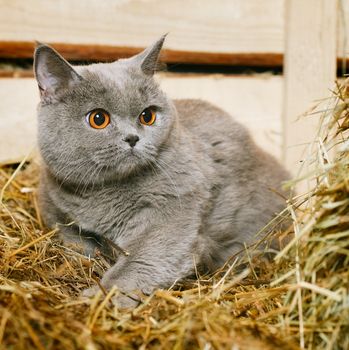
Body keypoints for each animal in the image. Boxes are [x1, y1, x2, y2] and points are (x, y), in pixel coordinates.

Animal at [33, 35, 288, 308]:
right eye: (98, 119)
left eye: (147, 116)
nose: (132, 138)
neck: (103, 194)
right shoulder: (53, 206)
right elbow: (74, 242)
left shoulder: (173, 215)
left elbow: (139, 261)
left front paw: (102, 296)